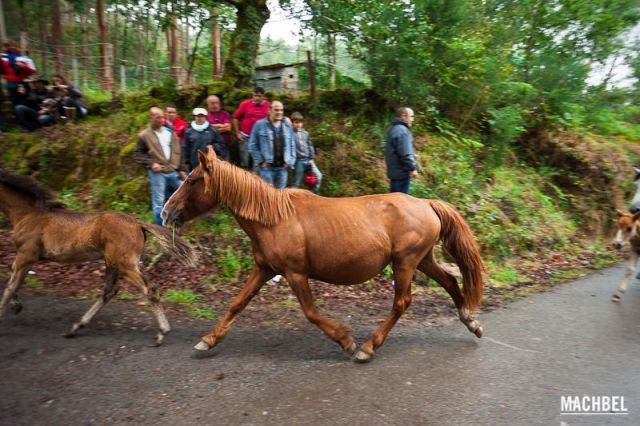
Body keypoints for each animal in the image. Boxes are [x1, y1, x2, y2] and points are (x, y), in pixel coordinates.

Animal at [0, 169, 197, 345]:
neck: (26, 214)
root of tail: (138, 224)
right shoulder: (26, 257)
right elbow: (12, 279)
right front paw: (16, 305)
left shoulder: (26, 255)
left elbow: (10, 286)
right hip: (113, 263)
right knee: (109, 291)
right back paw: (75, 327)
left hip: (124, 265)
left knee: (149, 290)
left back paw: (161, 334)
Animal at [161, 147, 485, 362]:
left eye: (191, 180)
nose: (165, 212)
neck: (274, 219)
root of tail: (427, 203)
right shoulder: (264, 269)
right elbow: (237, 303)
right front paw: (208, 340)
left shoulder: (295, 273)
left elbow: (311, 313)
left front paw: (347, 341)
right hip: (423, 258)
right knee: (450, 281)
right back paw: (471, 322)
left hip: (405, 261)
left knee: (402, 302)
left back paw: (368, 347)